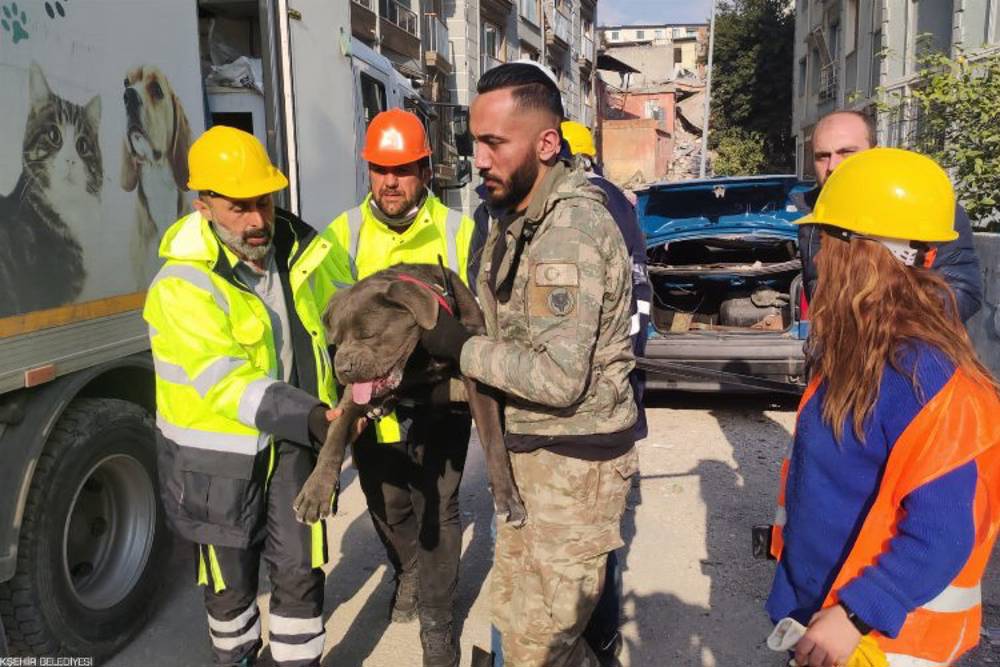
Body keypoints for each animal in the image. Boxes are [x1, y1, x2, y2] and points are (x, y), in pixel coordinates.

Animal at [292, 264, 528, 528]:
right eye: (337, 340)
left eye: (367, 335)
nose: (341, 368)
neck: (419, 356)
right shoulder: (355, 392)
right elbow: (336, 434)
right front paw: (315, 491)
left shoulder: (473, 369)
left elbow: (493, 438)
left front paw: (507, 498)